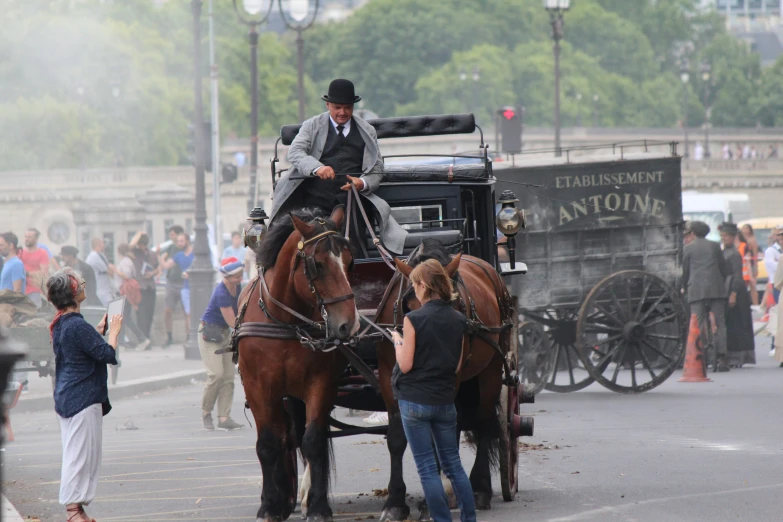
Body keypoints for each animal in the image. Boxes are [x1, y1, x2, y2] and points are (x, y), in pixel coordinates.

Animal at [237, 205, 360, 516]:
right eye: (318, 265)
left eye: (350, 261)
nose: (349, 325)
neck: (286, 322)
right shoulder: (258, 388)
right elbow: (268, 443)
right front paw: (270, 505)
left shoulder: (320, 383)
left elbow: (313, 440)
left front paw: (318, 506)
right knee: (284, 437)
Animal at [374, 238, 516, 516]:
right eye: (409, 306)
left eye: (452, 302)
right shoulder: (386, 375)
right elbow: (397, 435)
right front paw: (395, 501)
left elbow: (440, 433)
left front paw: (435, 498)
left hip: (492, 369)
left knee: (483, 421)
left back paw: (479, 487)